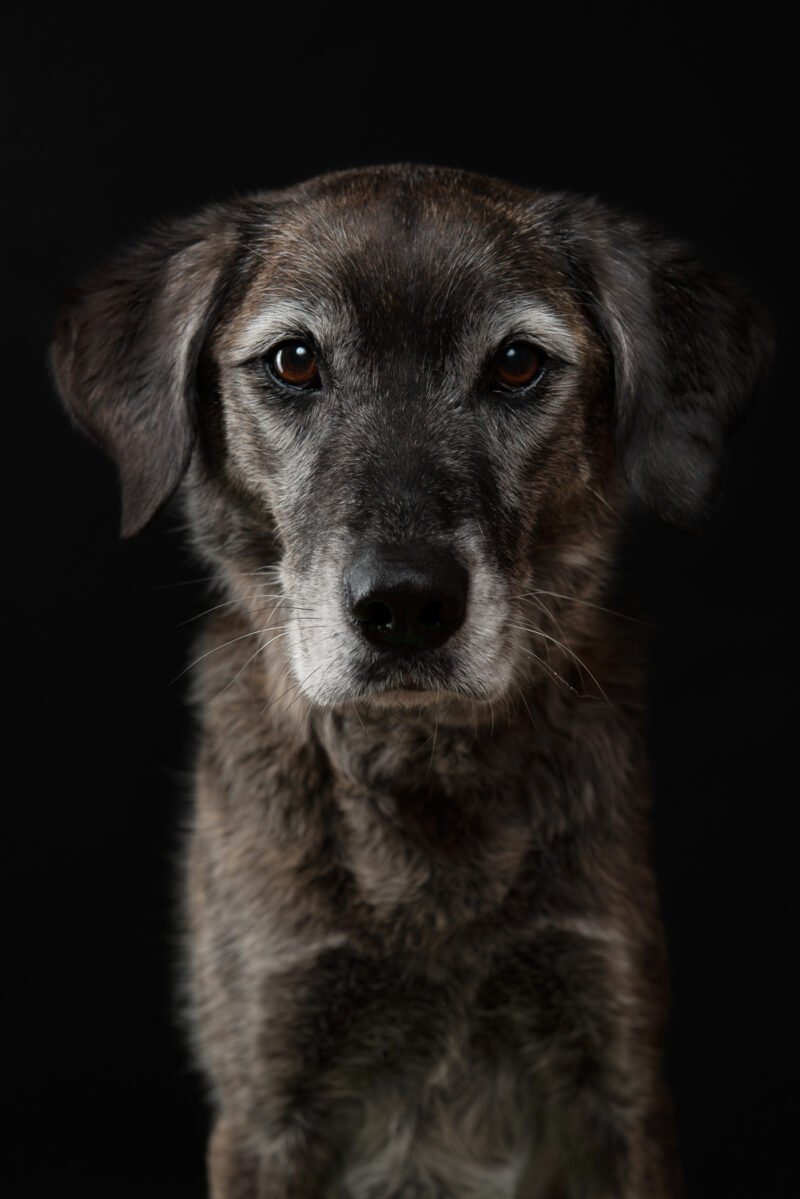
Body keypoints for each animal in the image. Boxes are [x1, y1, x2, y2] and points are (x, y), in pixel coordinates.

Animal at [48, 166, 767, 1199]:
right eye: (293, 361)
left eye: (517, 363)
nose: (406, 605)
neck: (425, 782)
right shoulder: (268, 1100)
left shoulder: (617, 1084)